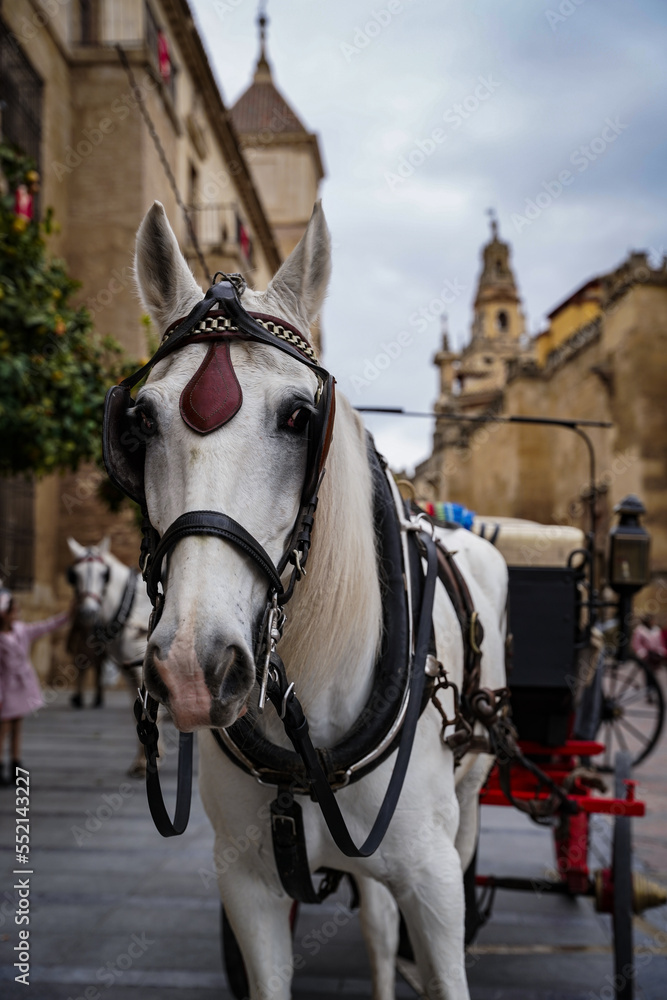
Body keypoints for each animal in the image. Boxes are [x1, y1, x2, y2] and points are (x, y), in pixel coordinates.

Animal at [66, 536, 153, 776]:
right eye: (73, 575)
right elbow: (137, 712)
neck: (131, 609)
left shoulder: (143, 669)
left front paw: (146, 762)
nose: (87, 611)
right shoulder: (128, 669)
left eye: (104, 574)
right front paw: (142, 760)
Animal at [133, 203, 506, 1000]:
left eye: (301, 417)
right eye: (140, 420)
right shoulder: (246, 885)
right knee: (377, 925)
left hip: (466, 808)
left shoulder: (434, 884)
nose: (193, 668)